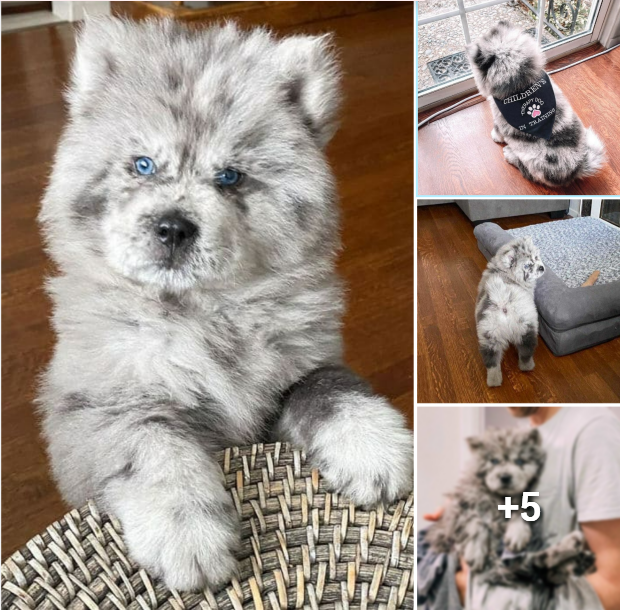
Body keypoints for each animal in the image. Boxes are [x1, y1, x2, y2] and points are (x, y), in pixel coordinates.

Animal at [37, 17, 412, 588]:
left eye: (229, 176)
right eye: (142, 166)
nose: (173, 226)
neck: (203, 314)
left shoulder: (300, 367)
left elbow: (332, 389)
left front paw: (377, 449)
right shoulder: (98, 406)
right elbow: (156, 444)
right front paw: (188, 535)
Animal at [464, 21, 604, 185]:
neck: (521, 84)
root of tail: (577, 168)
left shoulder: (499, 118)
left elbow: (497, 129)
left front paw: (495, 137)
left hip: (532, 160)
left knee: (525, 170)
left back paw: (509, 154)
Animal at [474, 235, 544, 388]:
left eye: (536, 257)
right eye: (528, 266)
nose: (542, 268)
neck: (505, 273)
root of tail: (502, 302)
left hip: (489, 335)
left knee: (492, 361)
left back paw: (494, 381)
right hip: (527, 327)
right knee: (526, 351)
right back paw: (528, 366)